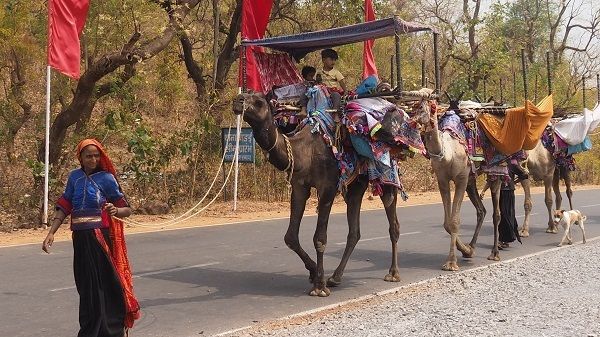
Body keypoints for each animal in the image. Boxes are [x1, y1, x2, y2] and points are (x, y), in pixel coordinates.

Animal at [234, 93, 404, 296]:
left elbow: (319, 238)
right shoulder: (299, 187)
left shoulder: (327, 188)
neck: (302, 153)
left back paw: (393, 273)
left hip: (386, 175)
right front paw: (314, 272)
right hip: (356, 184)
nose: (238, 100)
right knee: (354, 231)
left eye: (259, 101)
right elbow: (290, 237)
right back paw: (336, 277)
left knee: (393, 223)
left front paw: (319, 286)